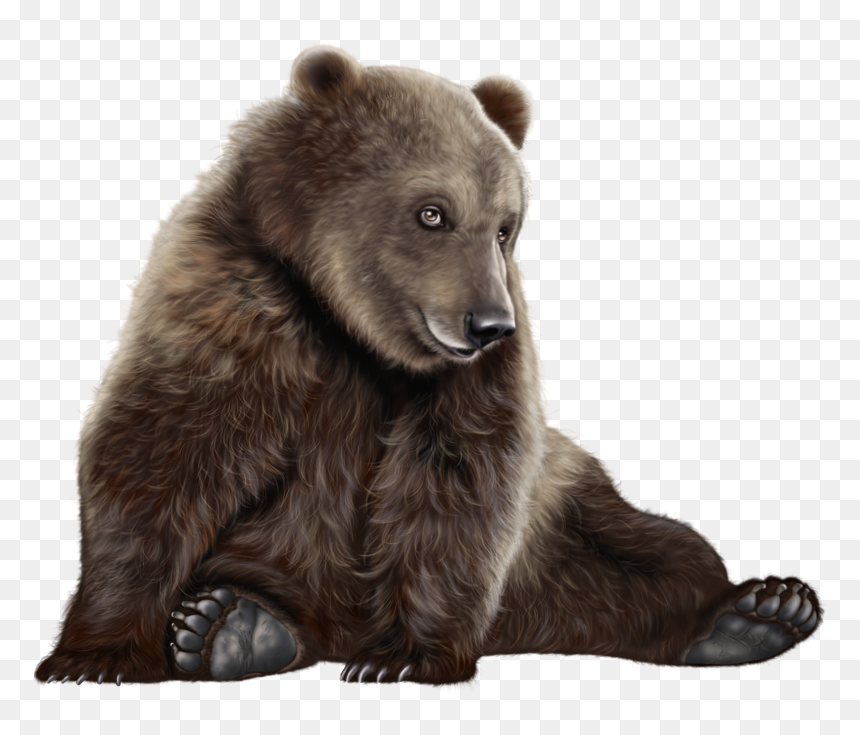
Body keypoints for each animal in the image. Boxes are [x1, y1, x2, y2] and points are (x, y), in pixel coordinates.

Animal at [35, 47, 821, 686]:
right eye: (432, 211)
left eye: (506, 224)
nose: (487, 324)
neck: (353, 327)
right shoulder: (233, 297)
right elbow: (163, 447)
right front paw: (95, 654)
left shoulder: (471, 376)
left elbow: (458, 473)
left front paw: (403, 655)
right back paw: (229, 624)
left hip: (562, 515)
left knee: (652, 552)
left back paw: (759, 612)